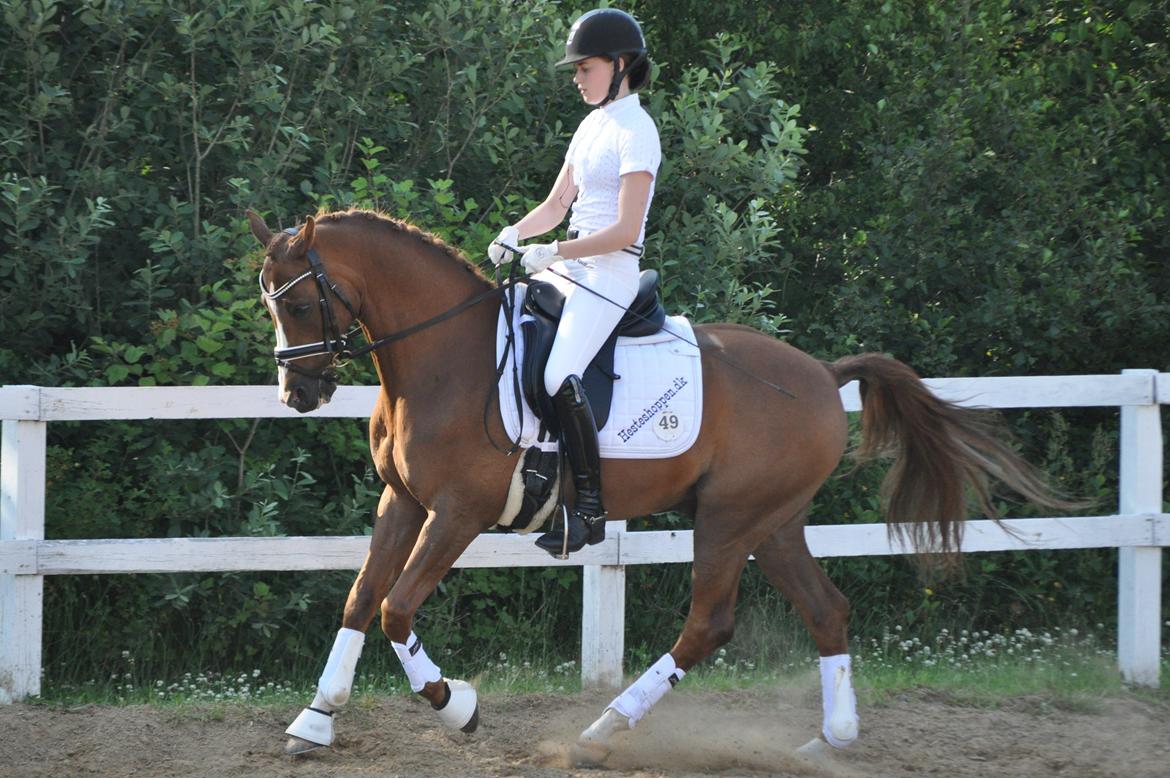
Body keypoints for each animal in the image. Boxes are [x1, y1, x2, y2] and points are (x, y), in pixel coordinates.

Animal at [246, 207, 1067, 763]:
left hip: (729, 522)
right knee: (827, 611)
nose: (299, 394)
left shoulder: (457, 513)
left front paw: (460, 708)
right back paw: (830, 741)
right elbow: (361, 599)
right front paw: (315, 720)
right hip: (771, 523)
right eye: (269, 302)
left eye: (300, 302)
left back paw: (599, 733)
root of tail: (822, 374)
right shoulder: (404, 500)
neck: (447, 358)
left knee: (708, 625)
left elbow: (396, 609)